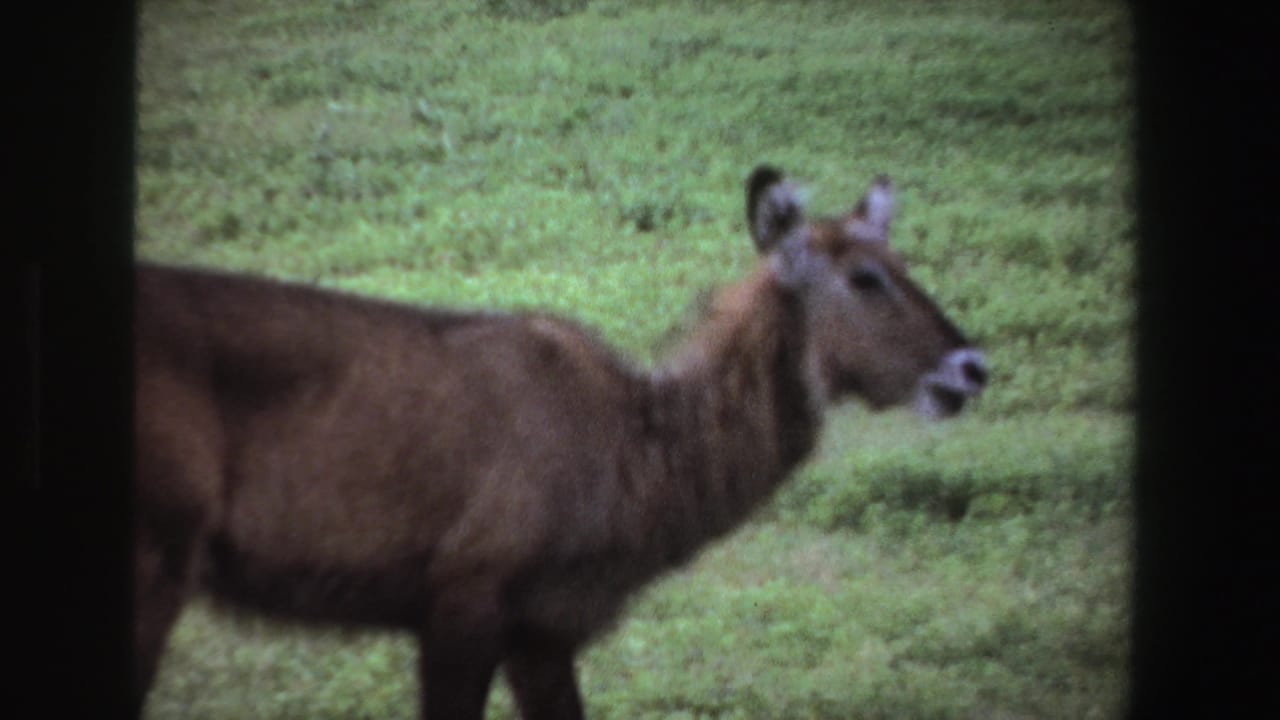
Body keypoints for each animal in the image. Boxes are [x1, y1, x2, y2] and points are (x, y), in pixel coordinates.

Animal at [133, 165, 987, 719]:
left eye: (902, 261)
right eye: (865, 278)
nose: (971, 367)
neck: (637, 467)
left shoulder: (543, 630)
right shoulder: (466, 595)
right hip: (154, 553)